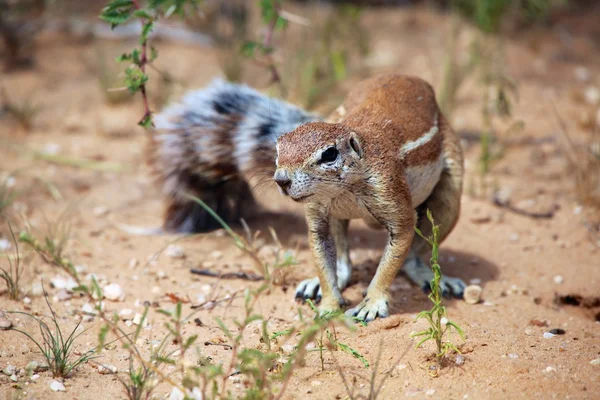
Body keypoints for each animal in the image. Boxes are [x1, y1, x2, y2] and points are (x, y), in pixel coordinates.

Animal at [148, 72, 466, 322]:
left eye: (329, 154)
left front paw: (372, 303)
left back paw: (433, 277)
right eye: (278, 147)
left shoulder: (391, 195)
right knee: (343, 260)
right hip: (339, 218)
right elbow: (322, 254)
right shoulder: (318, 213)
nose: (281, 180)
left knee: (416, 254)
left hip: (450, 191)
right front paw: (328, 304)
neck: (343, 189)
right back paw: (326, 281)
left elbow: (393, 254)